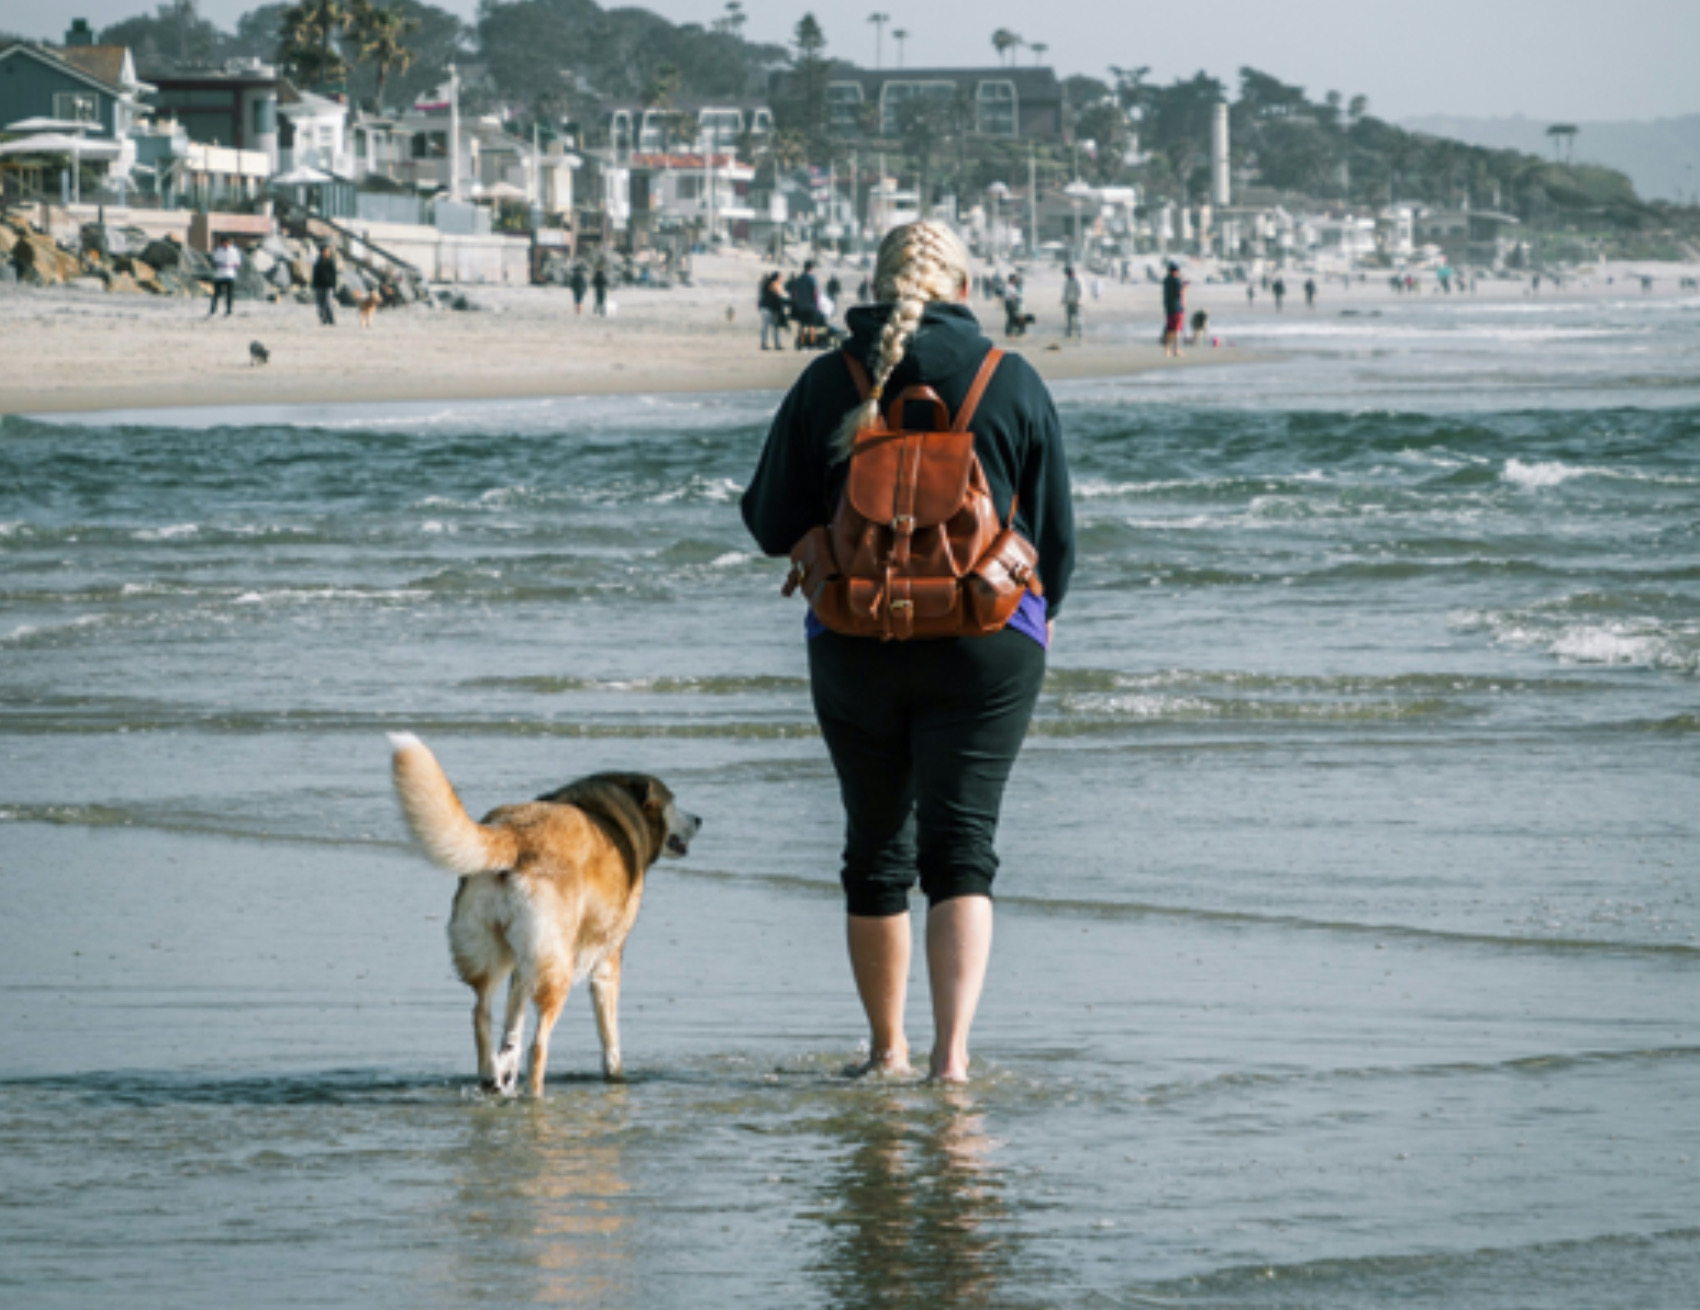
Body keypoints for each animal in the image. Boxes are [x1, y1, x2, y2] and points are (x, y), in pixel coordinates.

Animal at [387, 737, 697, 1094]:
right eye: (673, 800)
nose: (700, 819)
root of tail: (515, 833)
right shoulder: (608, 959)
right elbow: (610, 1037)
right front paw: (616, 1077)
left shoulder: (526, 960)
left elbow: (513, 1023)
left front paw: (506, 1065)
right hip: (557, 966)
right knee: (539, 1044)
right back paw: (534, 1094)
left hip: (493, 950)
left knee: (481, 1013)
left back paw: (492, 1077)